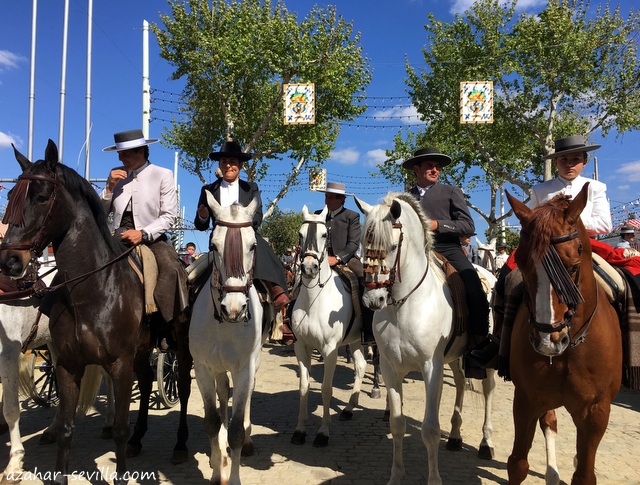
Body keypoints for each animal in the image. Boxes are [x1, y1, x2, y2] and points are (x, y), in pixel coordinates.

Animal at [0, 139, 191, 480]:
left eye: (41, 197)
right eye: (10, 197)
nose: (10, 261)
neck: (94, 289)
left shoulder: (118, 362)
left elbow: (119, 429)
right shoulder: (67, 364)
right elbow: (66, 428)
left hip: (177, 343)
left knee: (181, 385)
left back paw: (180, 445)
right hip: (139, 351)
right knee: (145, 382)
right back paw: (138, 439)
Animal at [190, 193, 270, 484]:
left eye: (253, 245)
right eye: (213, 245)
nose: (234, 308)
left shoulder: (244, 368)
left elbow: (236, 427)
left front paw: (233, 475)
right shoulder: (203, 369)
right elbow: (212, 421)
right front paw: (216, 472)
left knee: (245, 398)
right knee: (224, 392)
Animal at [288, 204, 364, 446]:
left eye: (324, 234)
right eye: (300, 234)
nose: (309, 267)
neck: (315, 299)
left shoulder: (330, 350)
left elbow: (326, 389)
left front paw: (323, 432)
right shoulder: (301, 347)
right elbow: (304, 387)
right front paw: (299, 430)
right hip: (356, 340)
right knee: (361, 366)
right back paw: (349, 409)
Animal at [358, 193, 498, 484]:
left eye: (391, 246)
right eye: (364, 245)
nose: (373, 300)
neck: (404, 305)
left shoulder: (431, 368)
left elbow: (430, 430)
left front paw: (434, 478)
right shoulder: (390, 368)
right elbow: (397, 424)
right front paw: (396, 475)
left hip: (485, 360)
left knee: (488, 390)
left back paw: (485, 443)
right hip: (455, 357)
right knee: (460, 383)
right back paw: (455, 437)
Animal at [504, 183, 620, 482]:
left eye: (573, 264)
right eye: (521, 262)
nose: (548, 340)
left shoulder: (595, 412)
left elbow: (585, 475)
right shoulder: (527, 399)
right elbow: (518, 464)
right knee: (550, 422)